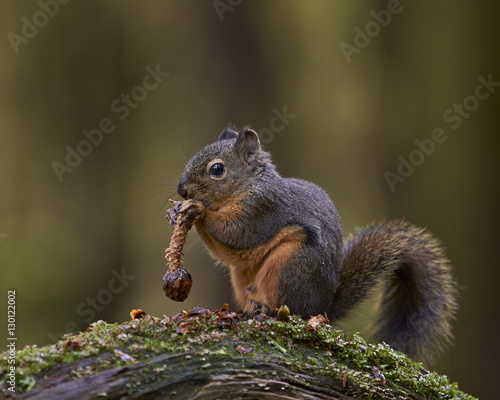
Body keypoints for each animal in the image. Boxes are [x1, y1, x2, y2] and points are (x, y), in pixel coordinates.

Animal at [175, 126, 458, 362]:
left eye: (217, 170)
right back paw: (248, 308)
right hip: (243, 276)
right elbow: (227, 253)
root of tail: (323, 307)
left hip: (292, 264)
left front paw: (197, 209)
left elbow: (237, 233)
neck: (248, 184)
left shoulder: (261, 210)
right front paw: (178, 210)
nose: (181, 190)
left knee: (293, 310)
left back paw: (267, 309)